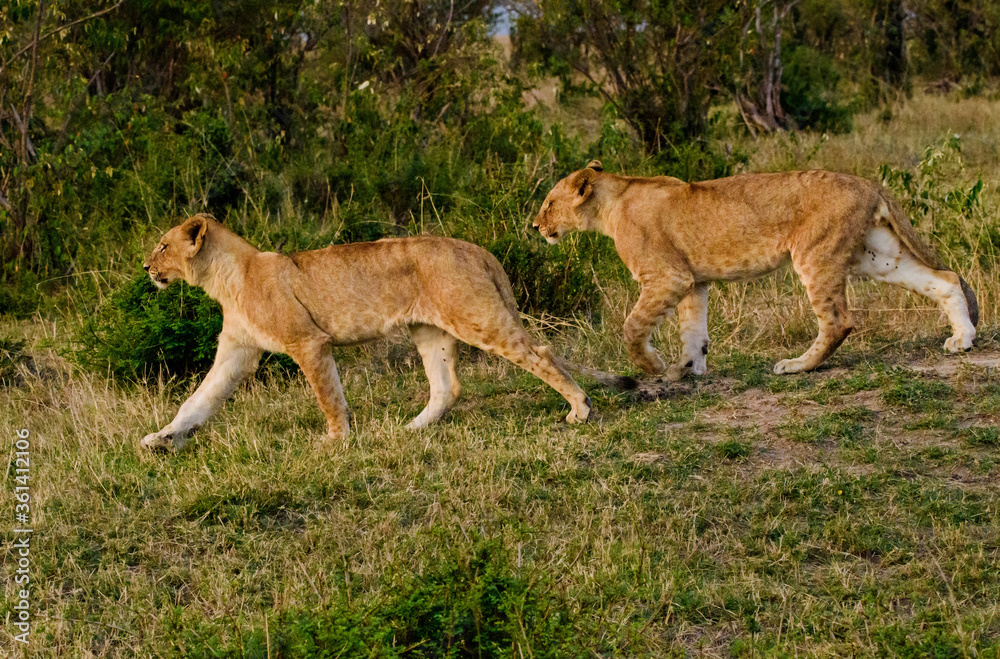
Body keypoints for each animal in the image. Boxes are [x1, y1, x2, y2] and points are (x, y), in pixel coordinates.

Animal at [139, 214, 598, 450]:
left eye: (163, 246)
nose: (145, 267)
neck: (227, 279)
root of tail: (478, 249)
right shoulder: (237, 352)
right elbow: (198, 400)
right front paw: (162, 438)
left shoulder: (309, 341)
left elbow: (327, 395)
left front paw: (335, 440)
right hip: (429, 331)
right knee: (447, 386)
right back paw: (412, 429)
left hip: (477, 318)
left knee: (540, 352)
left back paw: (580, 408)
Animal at [533, 161, 979, 380]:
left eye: (549, 203)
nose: (534, 227)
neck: (611, 203)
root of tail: (869, 183)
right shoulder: (693, 282)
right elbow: (694, 333)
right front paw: (687, 370)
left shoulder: (666, 278)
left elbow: (632, 328)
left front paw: (654, 367)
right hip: (876, 256)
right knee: (946, 280)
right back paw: (963, 339)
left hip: (814, 254)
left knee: (838, 321)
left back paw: (797, 366)